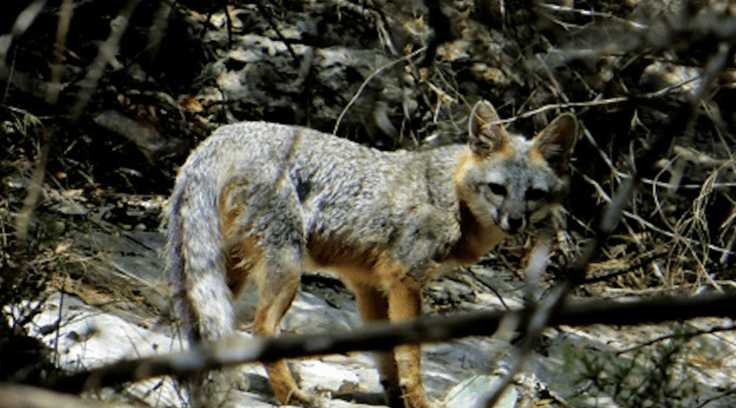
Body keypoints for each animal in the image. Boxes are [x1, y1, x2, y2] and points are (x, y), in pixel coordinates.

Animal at [165, 100, 578, 408]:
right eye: (497, 188)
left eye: (534, 194)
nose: (514, 221)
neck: (449, 194)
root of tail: (225, 133)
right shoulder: (405, 280)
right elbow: (410, 353)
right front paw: (419, 400)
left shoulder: (369, 287)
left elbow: (386, 354)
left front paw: (396, 397)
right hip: (286, 270)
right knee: (262, 328)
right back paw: (292, 395)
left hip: (230, 272)